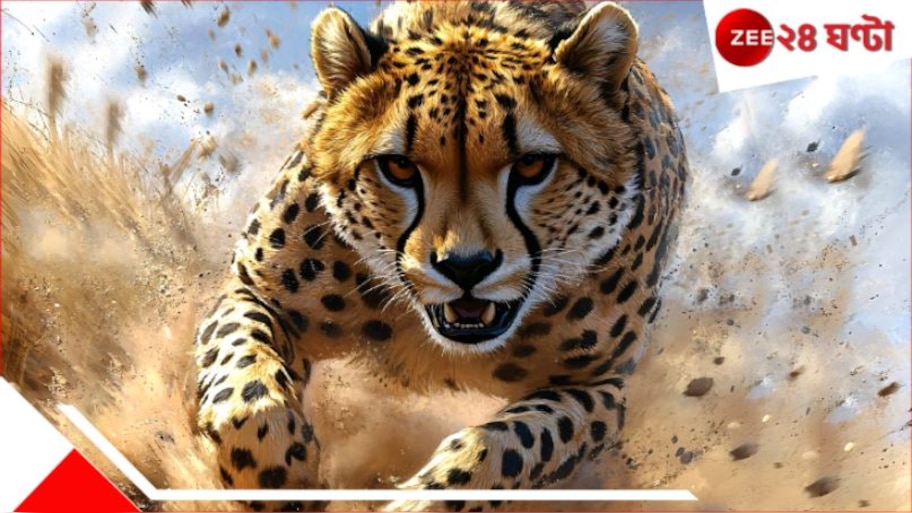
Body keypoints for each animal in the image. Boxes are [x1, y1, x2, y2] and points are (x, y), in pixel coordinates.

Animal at [193, 1, 688, 511]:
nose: (465, 266)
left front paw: (421, 499)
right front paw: (271, 468)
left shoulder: (598, 387)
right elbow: (240, 370)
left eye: (533, 165)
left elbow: (510, 446)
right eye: (398, 167)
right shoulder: (253, 290)